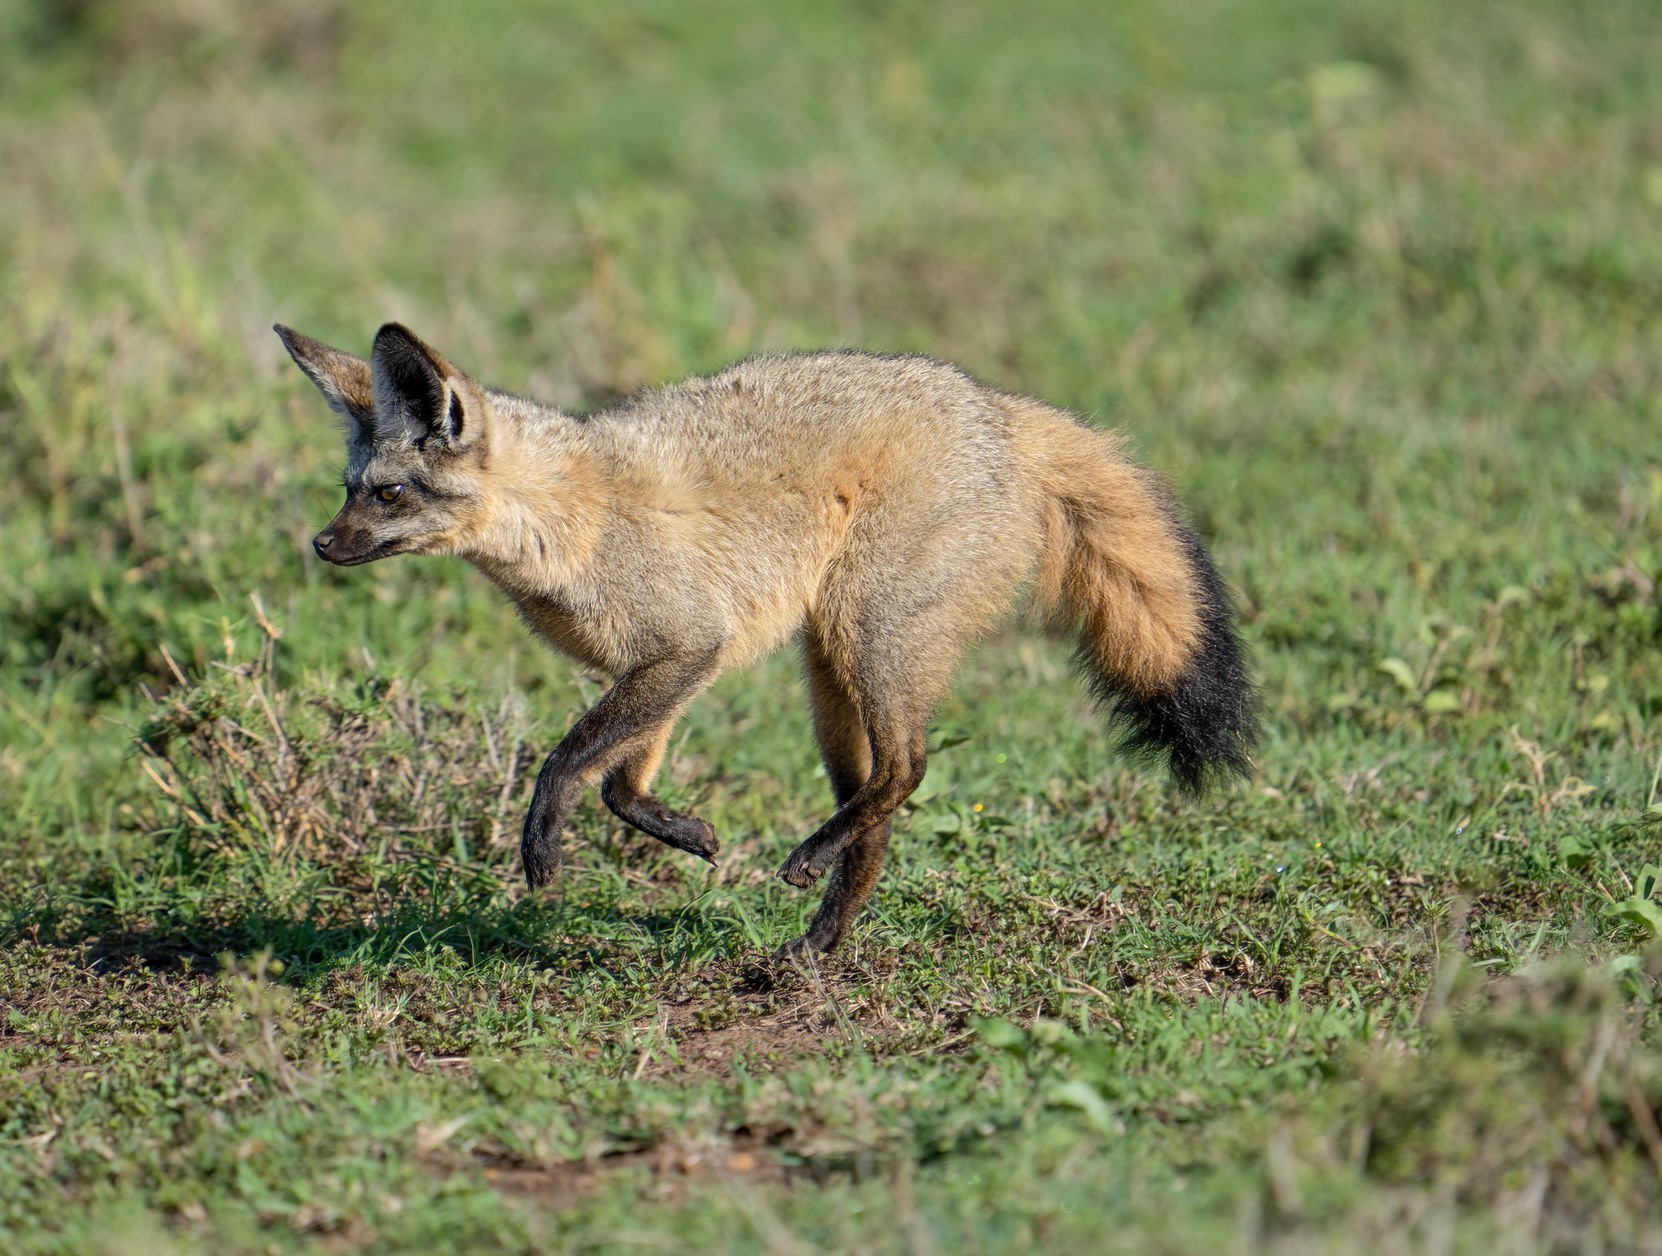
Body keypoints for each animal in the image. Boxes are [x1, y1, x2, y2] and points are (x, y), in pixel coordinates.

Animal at [275, 320, 1256, 950]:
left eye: (388, 495)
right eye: (350, 489)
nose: (320, 545)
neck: (573, 520)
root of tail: (997, 411)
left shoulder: (686, 648)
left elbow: (568, 762)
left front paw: (542, 844)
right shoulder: (667, 663)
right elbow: (619, 784)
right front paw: (689, 835)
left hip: (867, 637)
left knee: (907, 770)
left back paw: (808, 867)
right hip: (828, 674)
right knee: (880, 807)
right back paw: (818, 941)